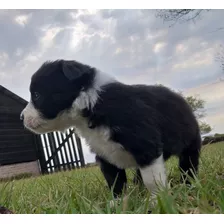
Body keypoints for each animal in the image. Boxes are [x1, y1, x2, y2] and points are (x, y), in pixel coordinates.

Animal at [20, 59, 201, 198]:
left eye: (37, 95)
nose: (21, 117)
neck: (93, 105)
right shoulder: (104, 153)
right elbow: (114, 181)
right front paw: (118, 205)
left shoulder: (145, 146)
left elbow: (152, 180)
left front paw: (158, 201)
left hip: (190, 142)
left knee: (188, 164)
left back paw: (189, 184)